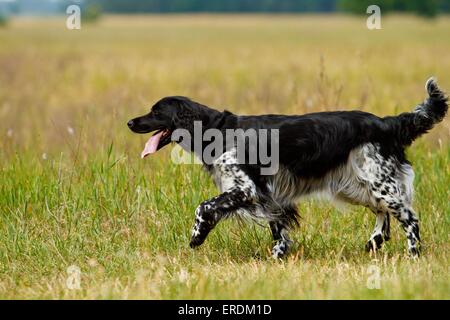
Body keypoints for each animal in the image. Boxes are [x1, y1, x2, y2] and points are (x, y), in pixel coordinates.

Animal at [128, 79, 448, 258]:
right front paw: (278, 257)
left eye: (156, 111)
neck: (218, 130)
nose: (130, 122)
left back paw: (413, 254)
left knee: (409, 217)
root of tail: (386, 123)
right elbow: (278, 228)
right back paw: (374, 241)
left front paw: (197, 235)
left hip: (376, 181)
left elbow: (204, 206)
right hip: (357, 185)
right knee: (384, 214)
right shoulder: (269, 194)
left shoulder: (246, 187)